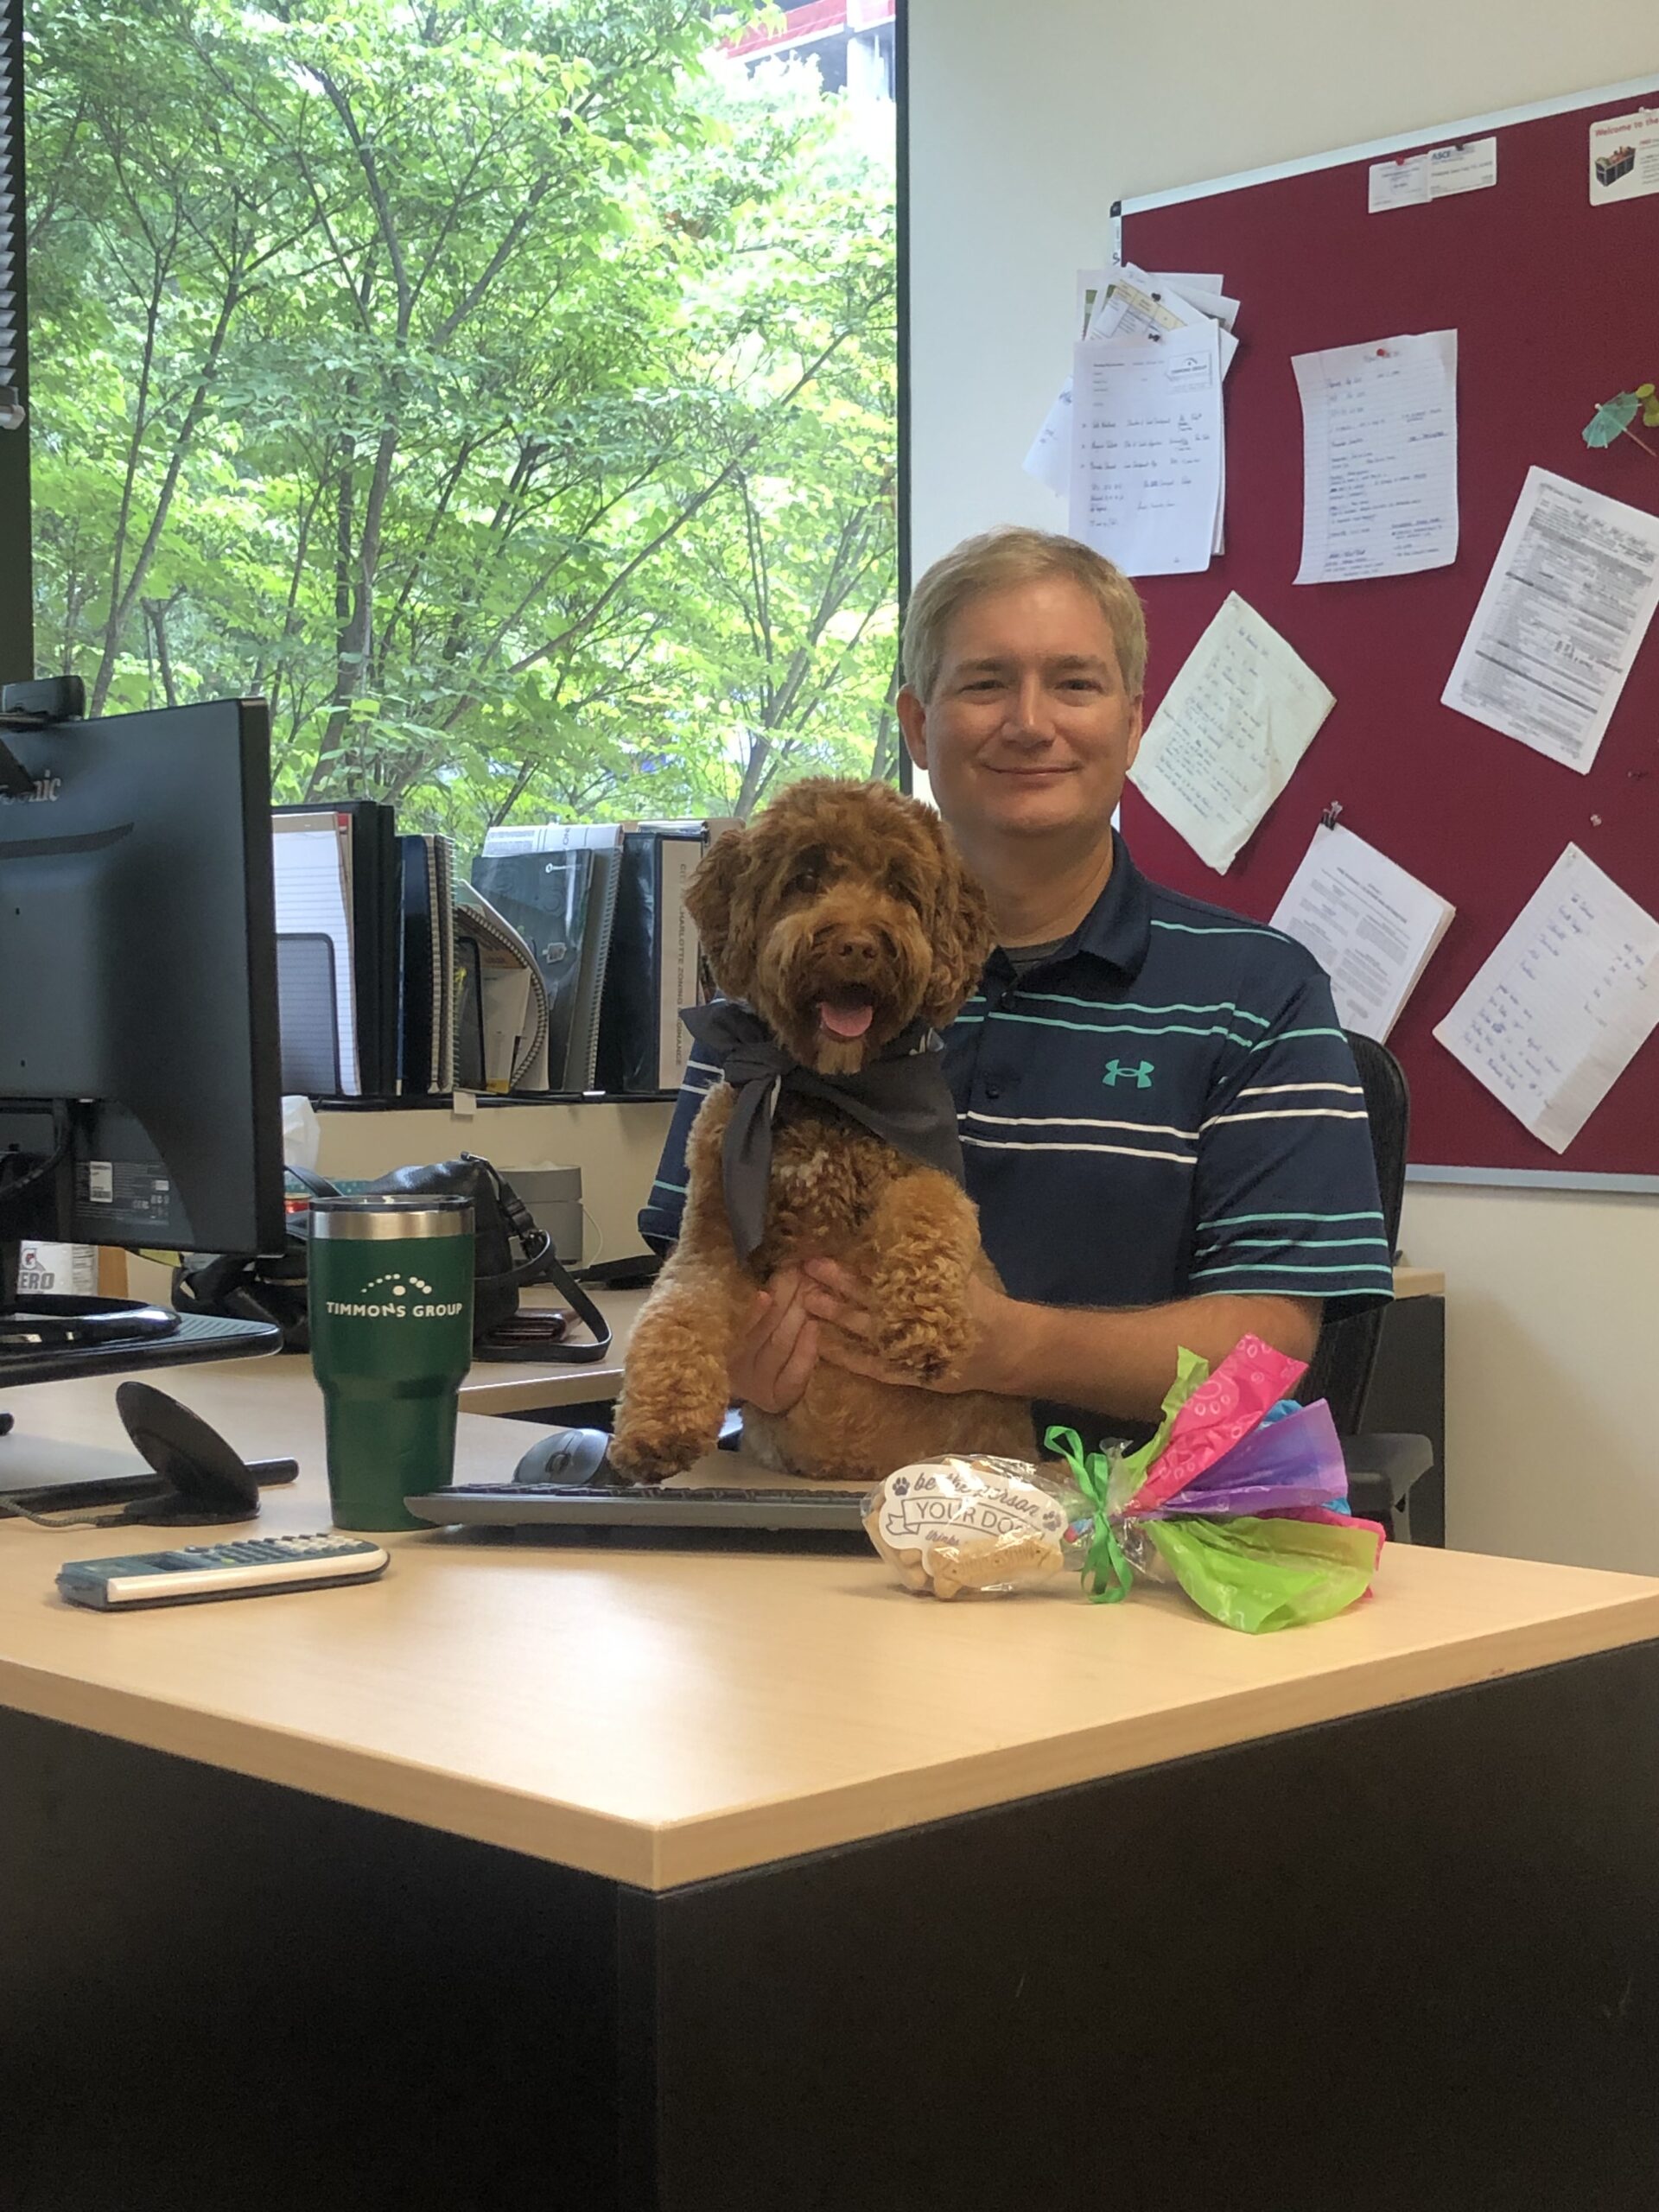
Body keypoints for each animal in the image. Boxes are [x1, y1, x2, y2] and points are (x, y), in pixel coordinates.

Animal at [606, 779, 1035, 1486]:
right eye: (805, 877)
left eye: (900, 885)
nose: (858, 944)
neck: (825, 1085)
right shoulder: (713, 1236)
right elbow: (676, 1312)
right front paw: (657, 1426)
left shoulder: (927, 1172)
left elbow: (930, 1217)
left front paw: (926, 1323)